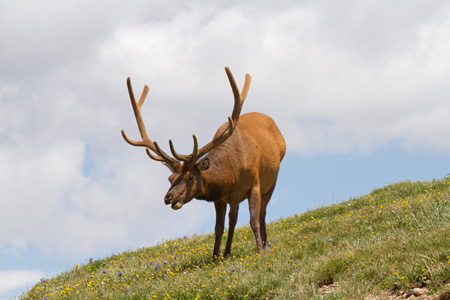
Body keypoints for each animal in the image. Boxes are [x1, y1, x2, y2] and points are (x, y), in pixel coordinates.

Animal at [121, 67, 286, 258]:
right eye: (170, 179)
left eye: (191, 177)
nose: (168, 197)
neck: (232, 173)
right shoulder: (221, 197)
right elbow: (218, 227)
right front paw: (215, 256)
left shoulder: (255, 185)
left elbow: (254, 219)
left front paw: (260, 250)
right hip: (235, 198)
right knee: (233, 219)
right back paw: (227, 252)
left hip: (271, 181)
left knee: (262, 213)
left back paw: (265, 245)